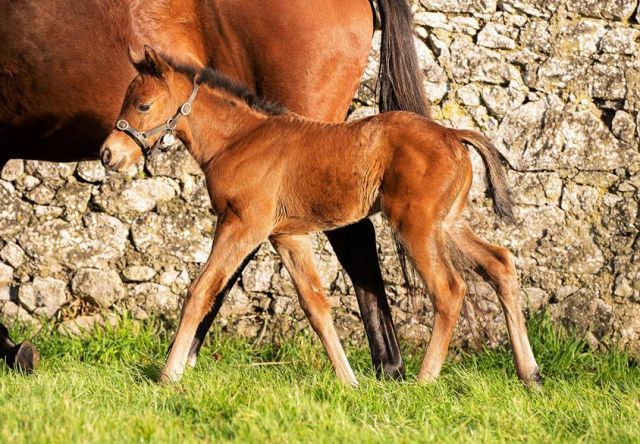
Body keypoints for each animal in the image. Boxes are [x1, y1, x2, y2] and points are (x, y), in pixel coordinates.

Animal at [102, 48, 544, 386]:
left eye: (143, 105)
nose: (109, 154)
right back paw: (530, 374)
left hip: (415, 225)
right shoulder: (287, 236)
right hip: (448, 223)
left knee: (450, 290)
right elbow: (315, 304)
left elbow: (200, 290)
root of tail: (453, 134)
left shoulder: (242, 225)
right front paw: (348, 381)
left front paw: (168, 374)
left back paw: (425, 380)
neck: (239, 140)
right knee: (501, 264)